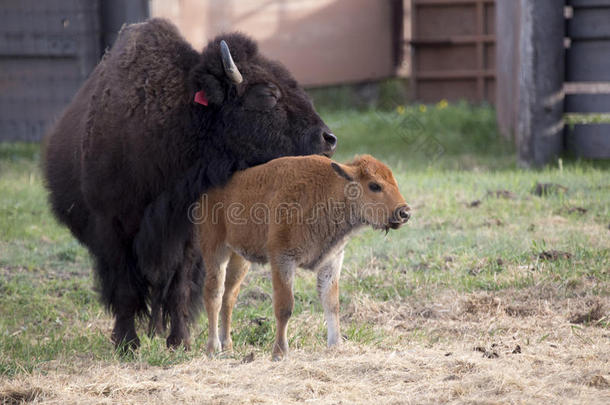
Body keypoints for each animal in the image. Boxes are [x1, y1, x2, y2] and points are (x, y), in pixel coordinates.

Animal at [44, 19, 338, 348]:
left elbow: (180, 288)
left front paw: (180, 342)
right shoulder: (111, 228)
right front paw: (128, 344)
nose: (327, 139)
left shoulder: (187, 236)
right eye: (266, 95)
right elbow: (125, 290)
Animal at [195, 155, 410, 360]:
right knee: (214, 295)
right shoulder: (282, 259)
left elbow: (331, 304)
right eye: (374, 185)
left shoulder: (332, 261)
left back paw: (228, 347)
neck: (330, 190)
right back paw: (213, 348)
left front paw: (336, 345)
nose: (404, 212)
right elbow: (285, 306)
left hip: (239, 259)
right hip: (216, 251)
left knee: (229, 297)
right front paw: (279, 353)